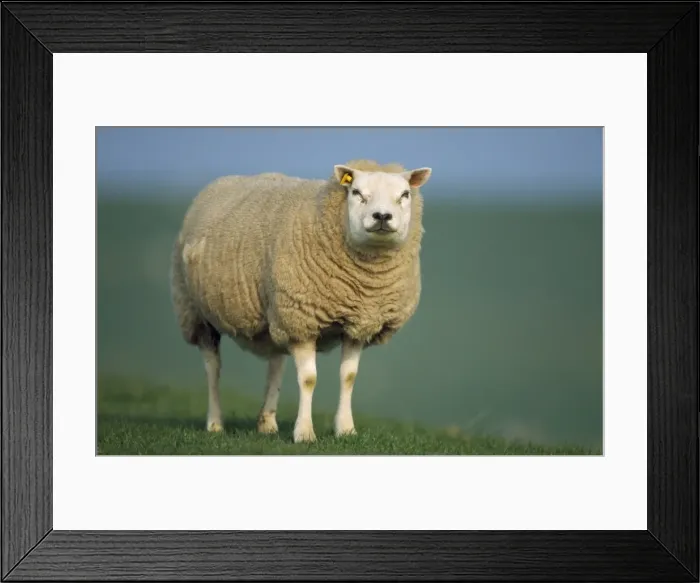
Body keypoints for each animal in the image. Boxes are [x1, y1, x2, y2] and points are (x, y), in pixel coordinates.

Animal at [169, 159, 432, 443]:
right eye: (356, 192)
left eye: (404, 195)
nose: (382, 216)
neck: (364, 284)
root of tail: (221, 181)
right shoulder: (303, 320)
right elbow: (308, 379)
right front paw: (305, 433)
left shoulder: (358, 324)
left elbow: (348, 377)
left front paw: (346, 429)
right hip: (196, 311)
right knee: (213, 368)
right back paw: (215, 423)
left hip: (276, 314)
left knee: (275, 364)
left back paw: (267, 423)